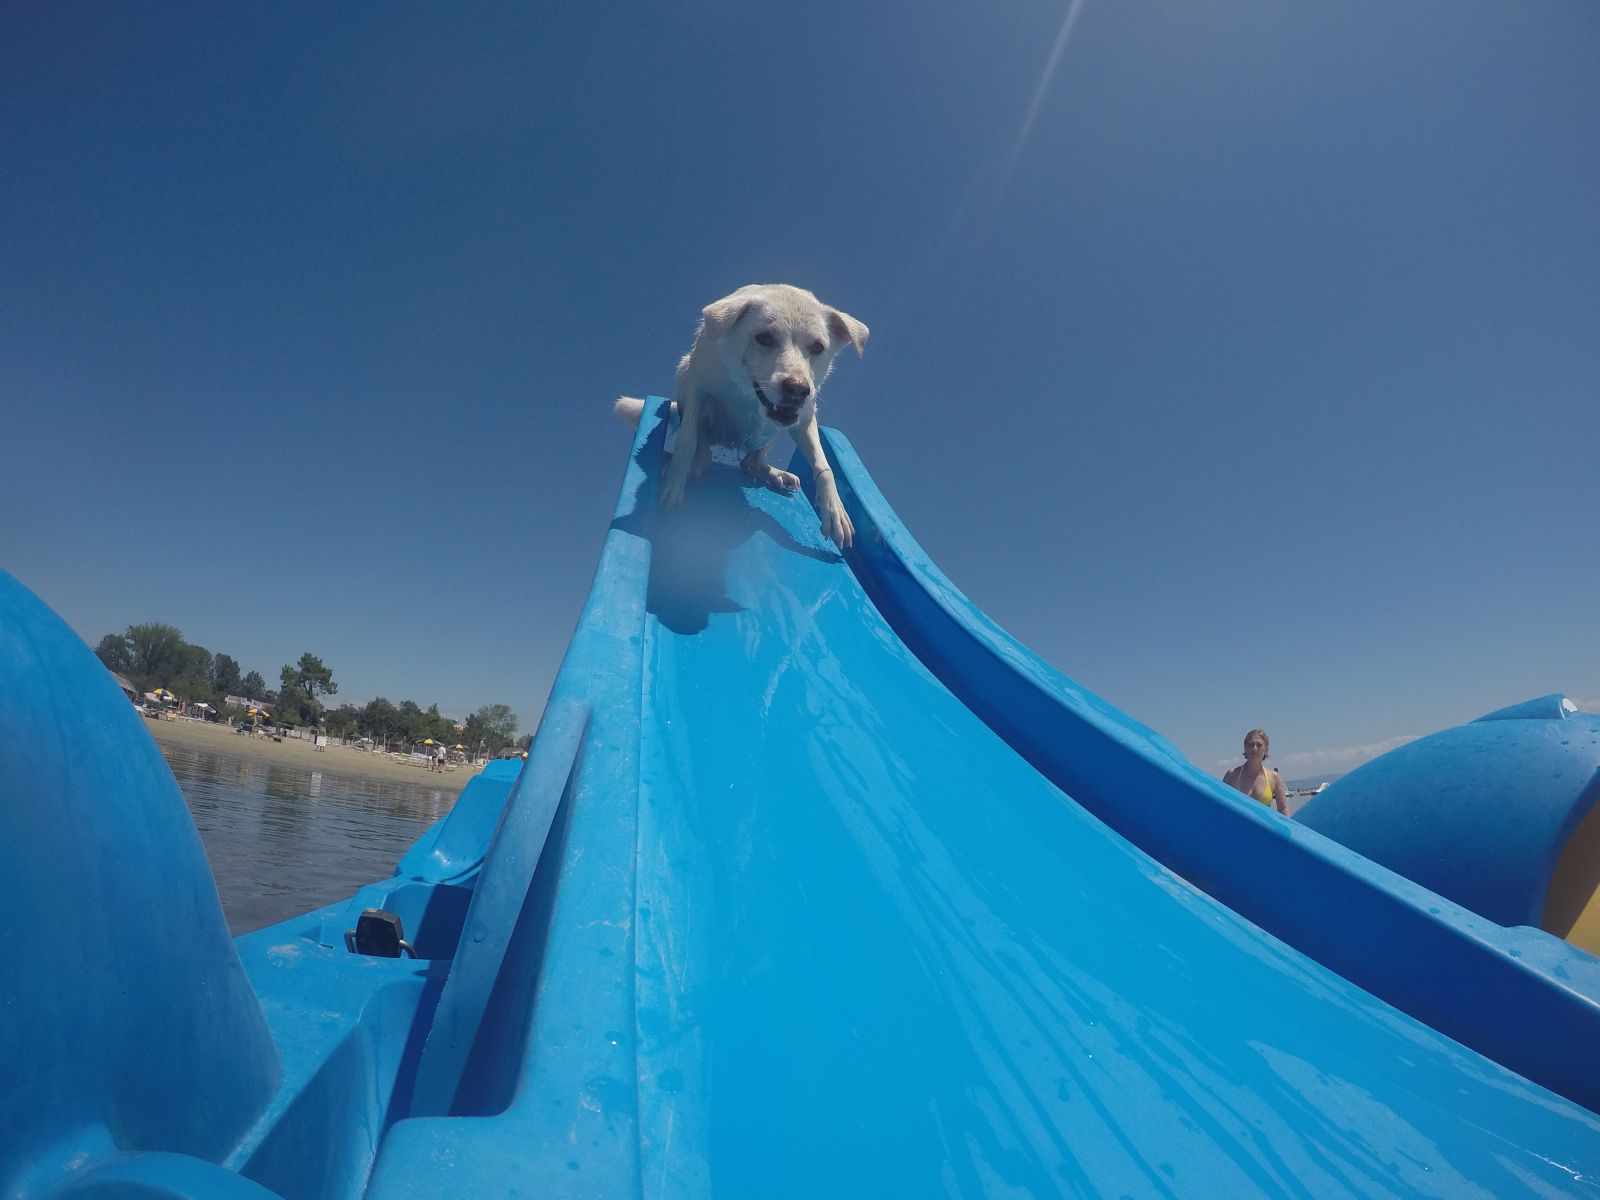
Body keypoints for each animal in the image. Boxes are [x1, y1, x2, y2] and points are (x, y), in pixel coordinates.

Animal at [614, 284, 870, 547]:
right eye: (764, 337)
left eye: (818, 346)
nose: (797, 390)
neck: (747, 392)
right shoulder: (697, 384)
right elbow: (687, 441)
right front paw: (674, 483)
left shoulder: (806, 415)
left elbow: (823, 465)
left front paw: (834, 511)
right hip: (683, 374)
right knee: (701, 441)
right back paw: (699, 461)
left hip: (775, 430)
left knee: (750, 461)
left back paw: (770, 472)